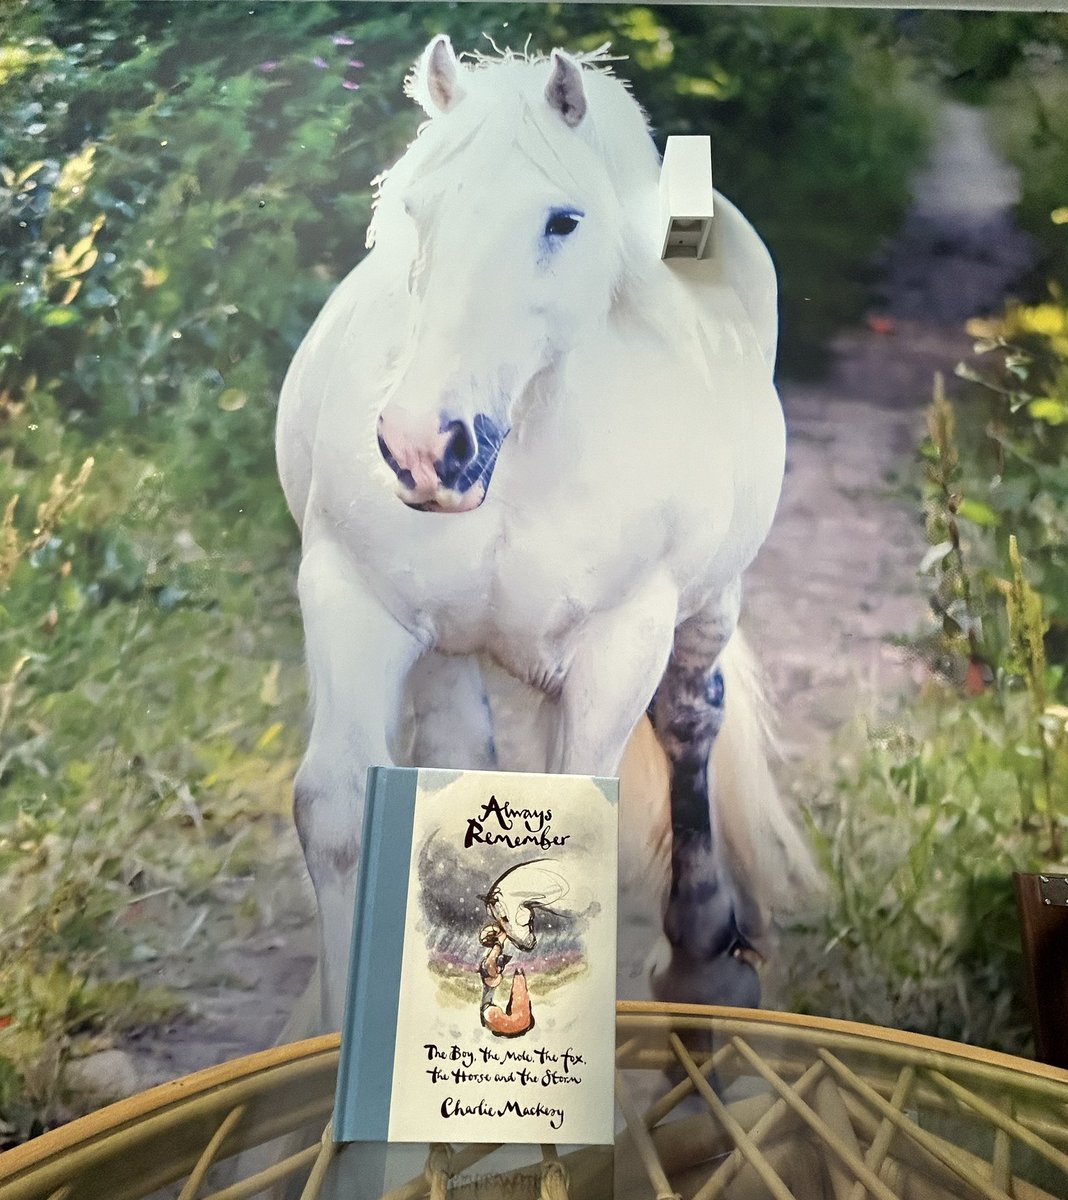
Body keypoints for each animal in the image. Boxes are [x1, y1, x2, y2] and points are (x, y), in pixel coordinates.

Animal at [276, 36, 815, 1036]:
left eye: (563, 221)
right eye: (416, 211)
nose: (424, 447)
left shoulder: (622, 639)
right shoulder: (353, 600)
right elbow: (336, 813)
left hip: (709, 605)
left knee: (692, 723)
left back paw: (703, 958)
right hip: (447, 649)